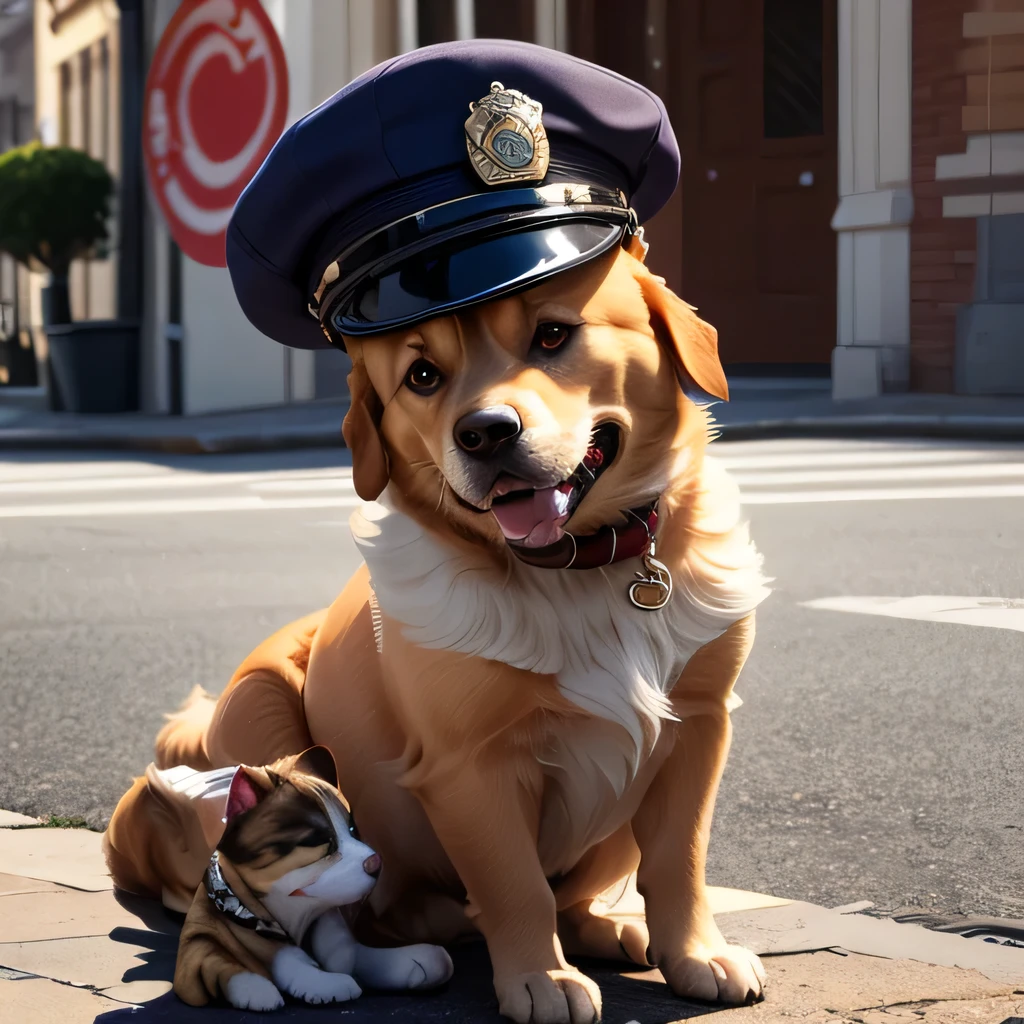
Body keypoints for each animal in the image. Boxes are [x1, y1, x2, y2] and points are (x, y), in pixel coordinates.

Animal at [173, 749, 452, 1011]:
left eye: (353, 830)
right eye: (317, 841)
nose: (376, 863)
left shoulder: (339, 942)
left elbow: (354, 956)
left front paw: (420, 961)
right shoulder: (195, 956)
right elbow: (256, 958)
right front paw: (312, 984)